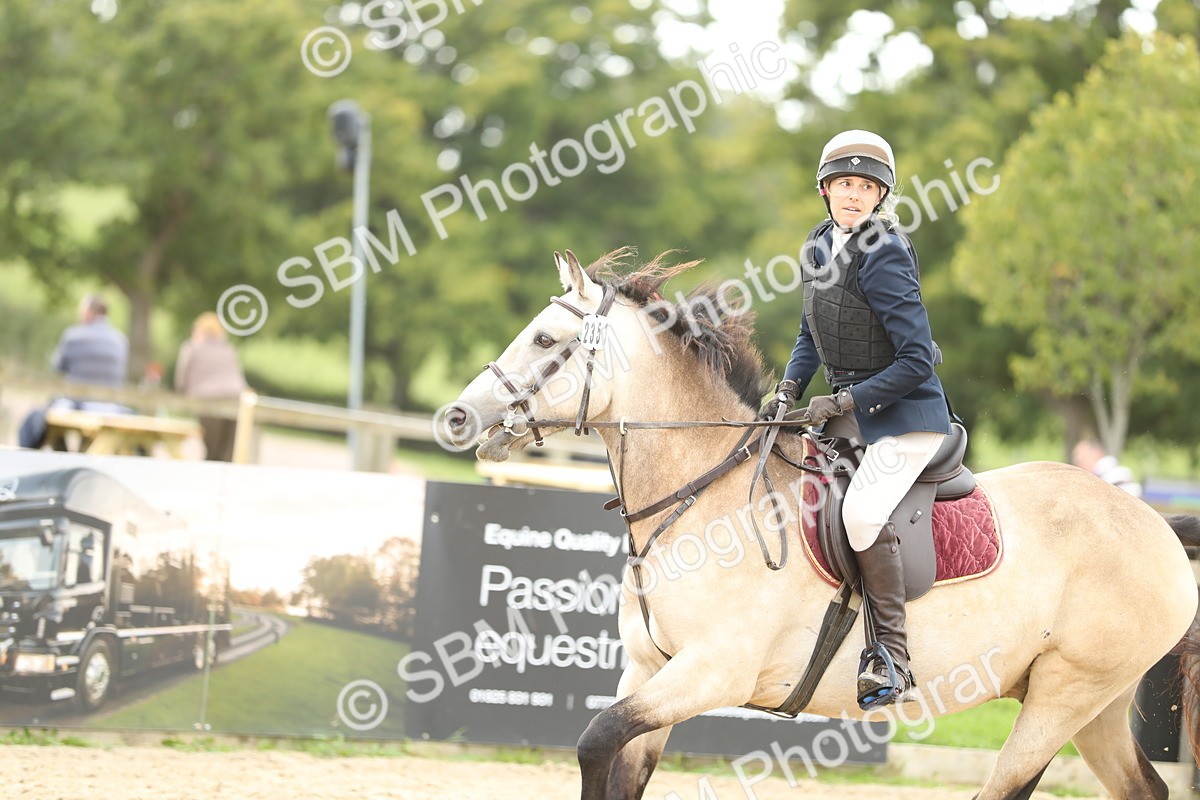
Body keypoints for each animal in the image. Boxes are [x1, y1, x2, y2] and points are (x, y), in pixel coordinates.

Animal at [444, 249, 1200, 800]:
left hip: (1067, 696)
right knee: (1147, 790)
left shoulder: (711, 673)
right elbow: (614, 760)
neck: (702, 498)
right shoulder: (648, 669)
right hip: (1093, 707)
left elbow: (596, 739)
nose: (456, 416)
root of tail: (1154, 524)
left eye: (546, 338)